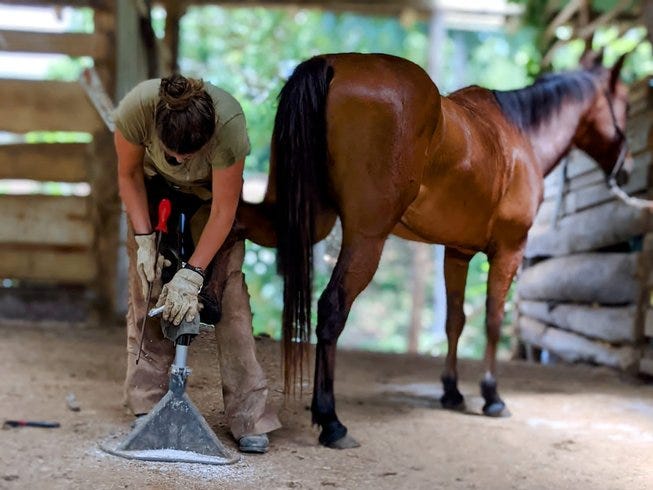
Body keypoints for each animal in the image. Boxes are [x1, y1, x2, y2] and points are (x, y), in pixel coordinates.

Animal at [237, 49, 628, 448]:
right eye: (625, 102)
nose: (624, 171)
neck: (520, 135)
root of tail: (332, 63)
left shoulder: (457, 253)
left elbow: (454, 320)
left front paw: (452, 392)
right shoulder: (509, 250)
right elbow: (492, 320)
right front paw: (491, 396)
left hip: (299, 216)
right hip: (365, 237)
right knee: (332, 309)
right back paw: (331, 421)